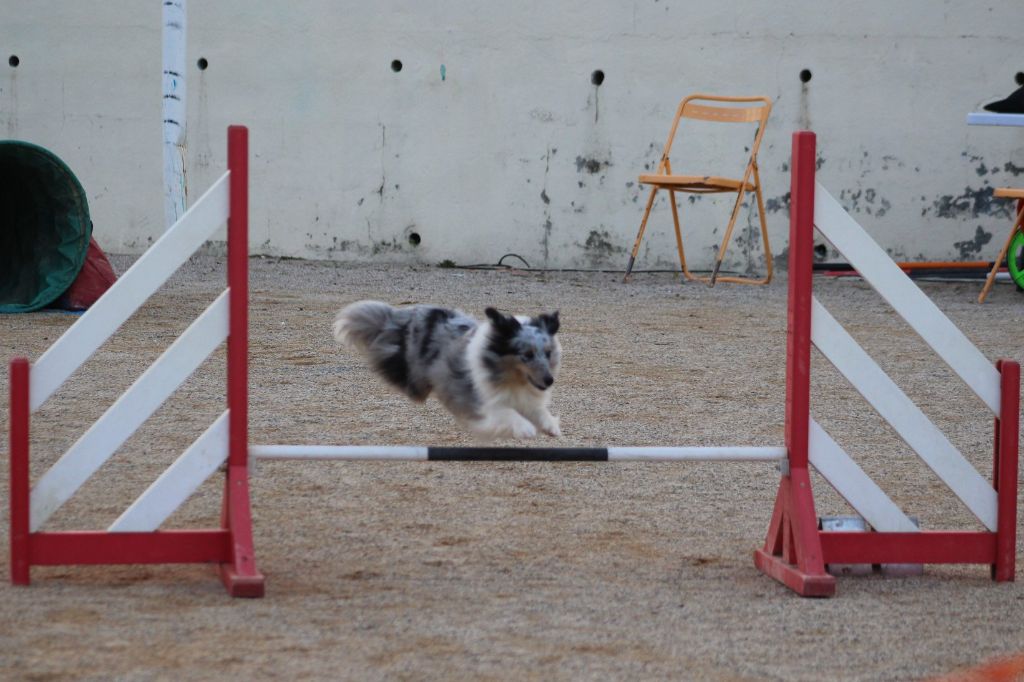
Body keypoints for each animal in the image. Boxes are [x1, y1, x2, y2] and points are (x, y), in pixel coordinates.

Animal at [331, 301, 561, 438]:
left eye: (548, 352)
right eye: (527, 355)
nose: (549, 380)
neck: (511, 378)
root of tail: (406, 314)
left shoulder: (526, 397)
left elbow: (538, 411)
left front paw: (551, 426)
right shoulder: (479, 402)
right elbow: (506, 412)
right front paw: (525, 428)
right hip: (414, 378)